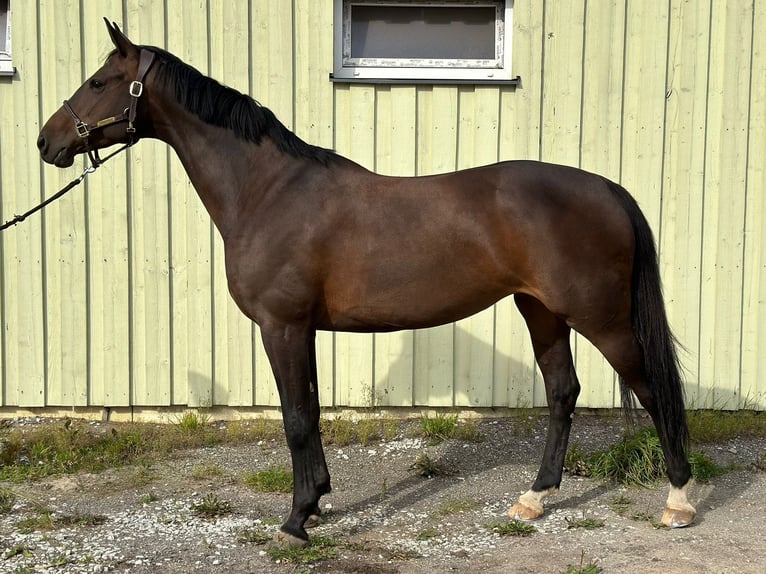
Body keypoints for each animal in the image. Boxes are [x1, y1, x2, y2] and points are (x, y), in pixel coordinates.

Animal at [36, 20, 700, 548]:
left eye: (99, 81)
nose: (48, 141)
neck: (268, 191)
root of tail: (609, 190)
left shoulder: (282, 326)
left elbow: (295, 419)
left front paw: (295, 521)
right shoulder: (301, 330)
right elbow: (308, 412)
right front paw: (316, 503)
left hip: (601, 318)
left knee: (652, 389)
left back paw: (679, 501)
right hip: (541, 311)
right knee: (564, 392)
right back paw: (533, 499)